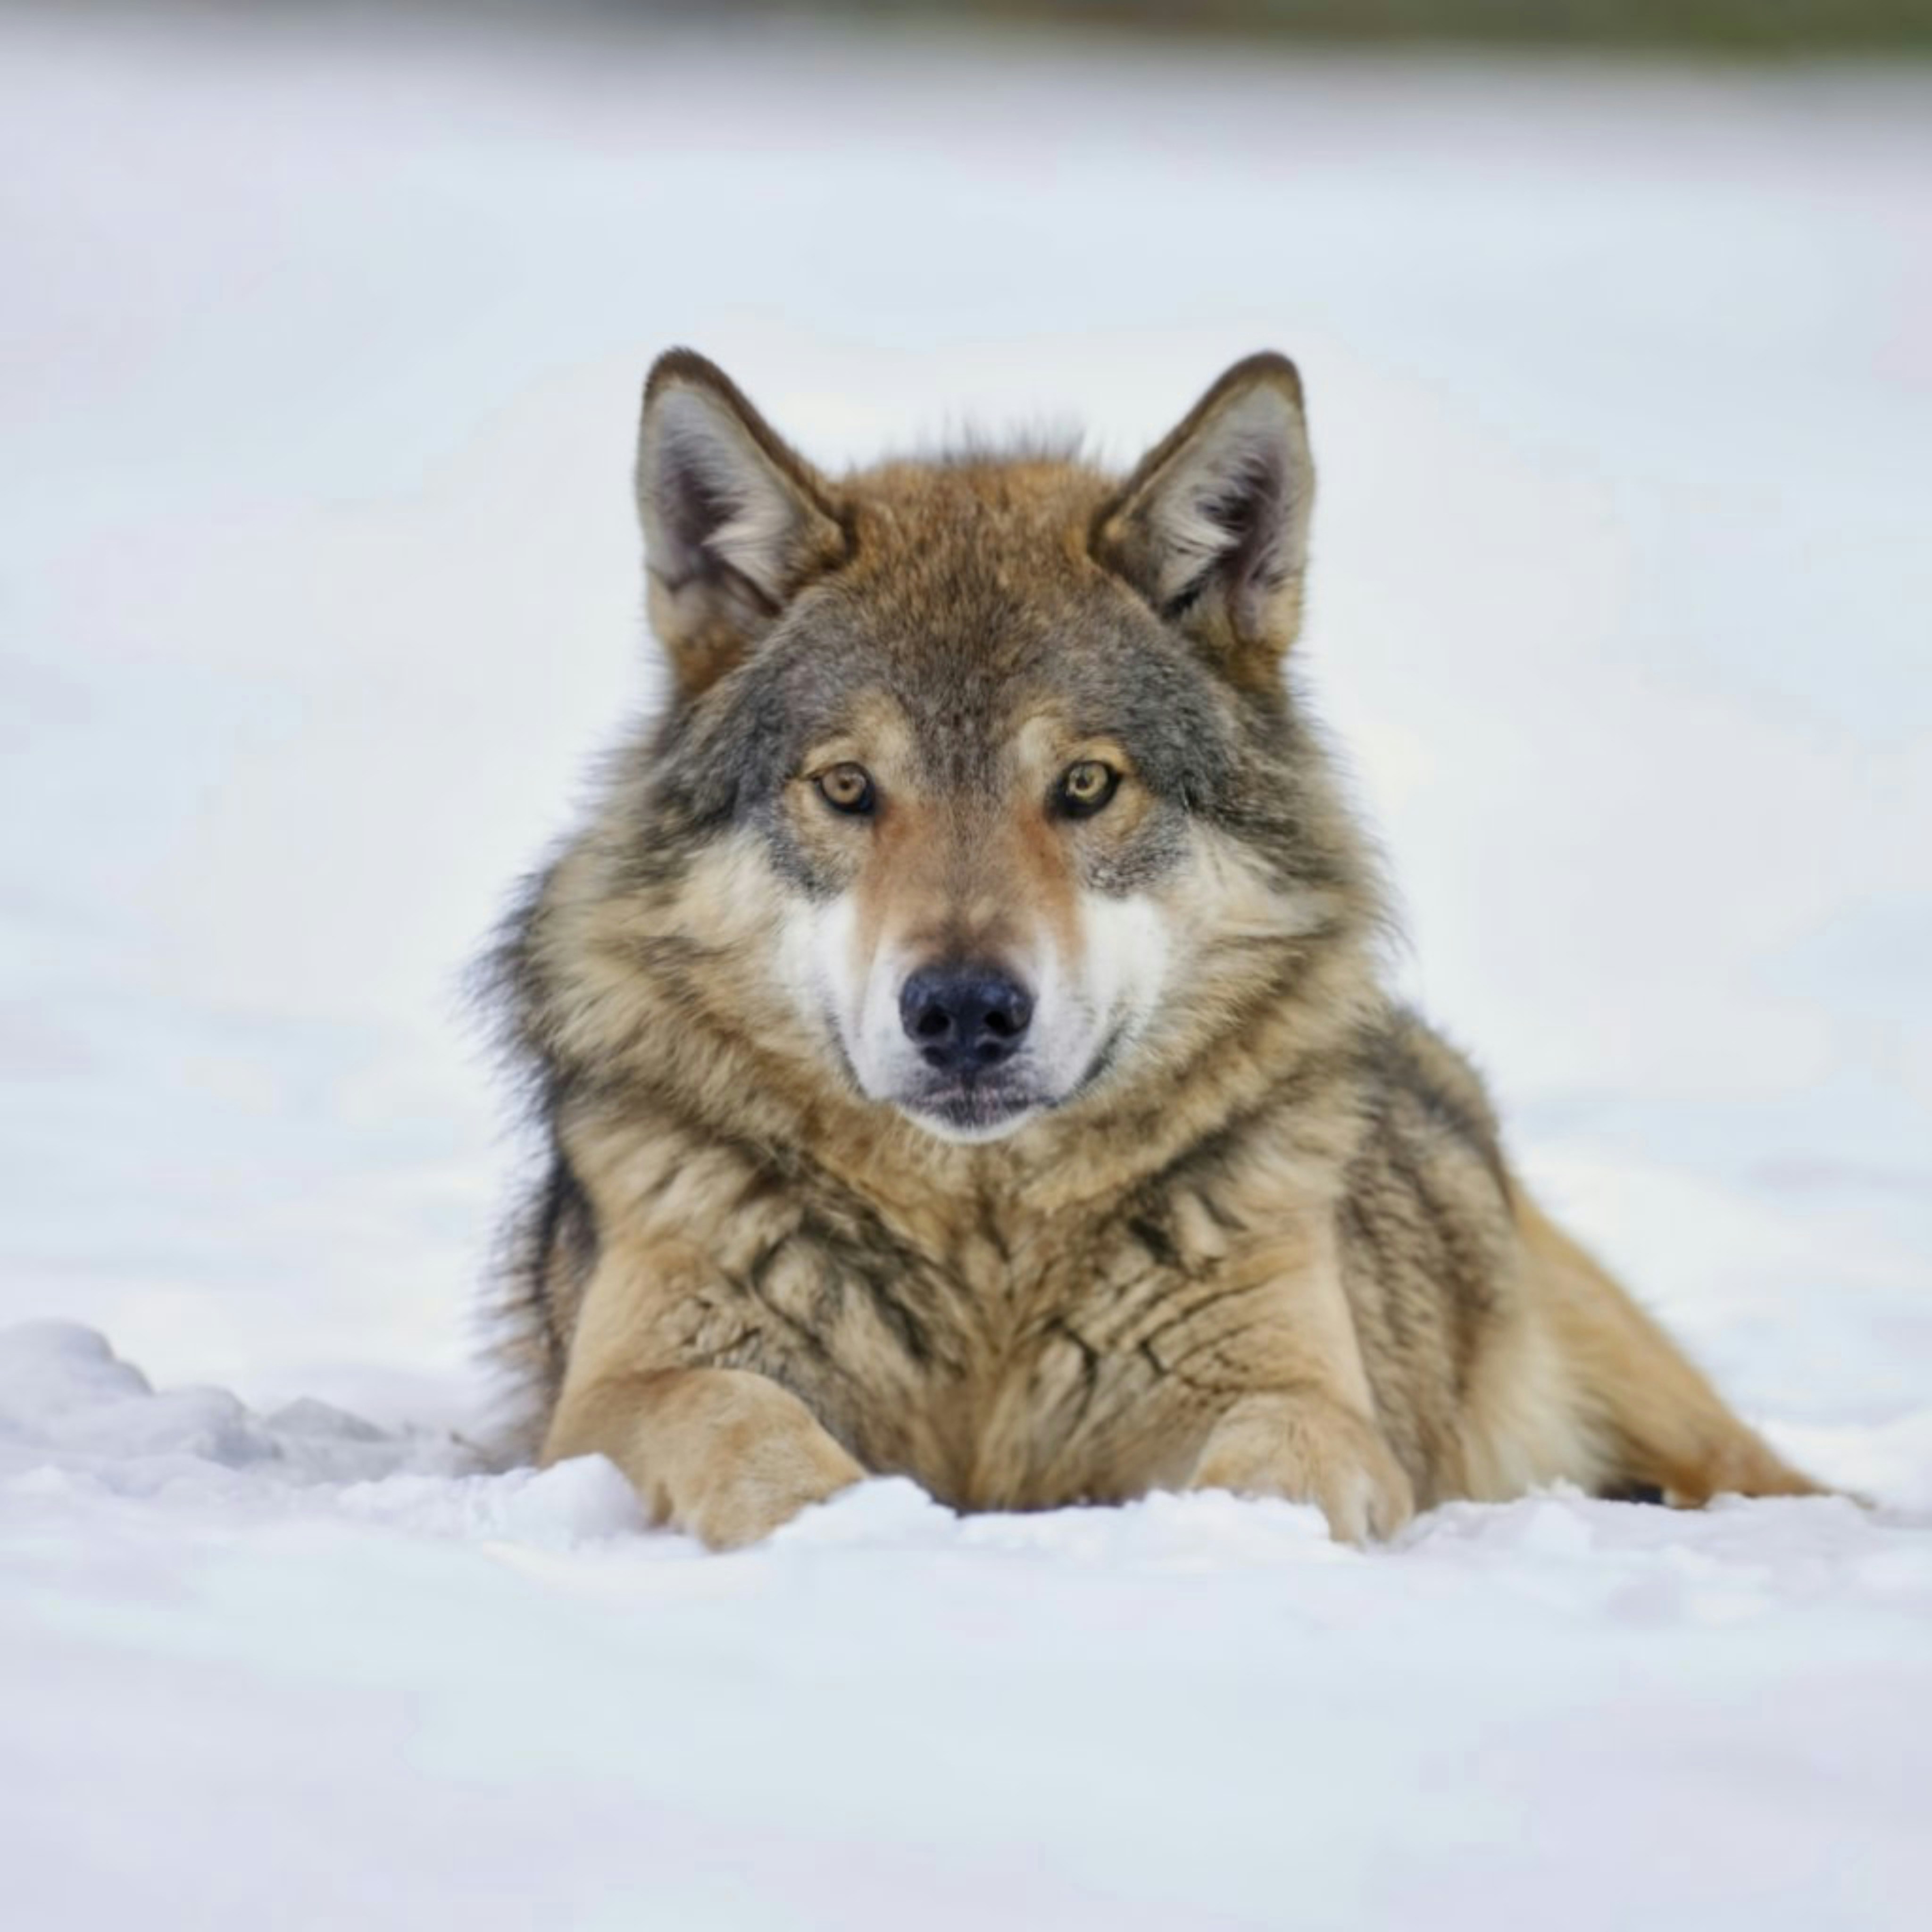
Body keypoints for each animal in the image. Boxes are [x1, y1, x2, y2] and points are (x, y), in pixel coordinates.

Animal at [488, 347, 1818, 1548]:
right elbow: (737, 1418)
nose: (962, 1010)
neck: (985, 1263)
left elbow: (1278, 1462)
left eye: (1085, 784)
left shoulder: (1297, 1389)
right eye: (848, 787)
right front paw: (839, 1529)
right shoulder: (618, 1392)